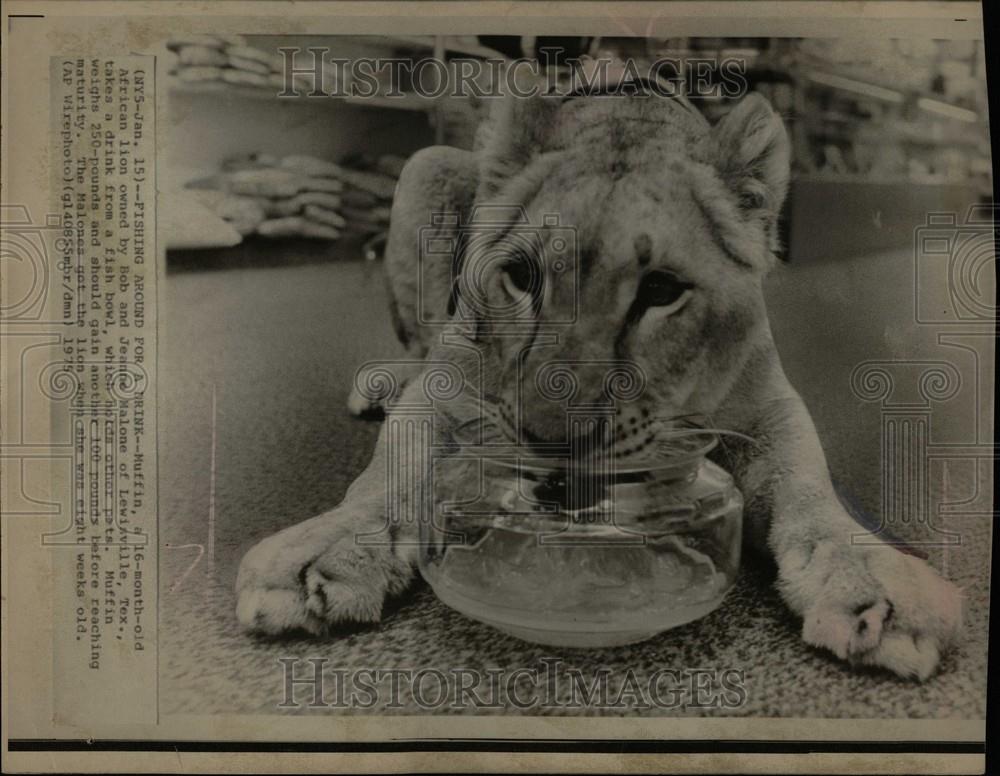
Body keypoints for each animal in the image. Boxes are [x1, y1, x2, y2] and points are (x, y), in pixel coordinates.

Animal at [234, 77, 960, 680]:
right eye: (521, 276)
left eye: (661, 291)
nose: (549, 439)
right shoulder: (450, 385)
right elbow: (391, 465)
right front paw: (328, 551)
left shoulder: (768, 403)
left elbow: (808, 482)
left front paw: (870, 582)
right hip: (427, 166)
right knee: (416, 339)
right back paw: (380, 382)